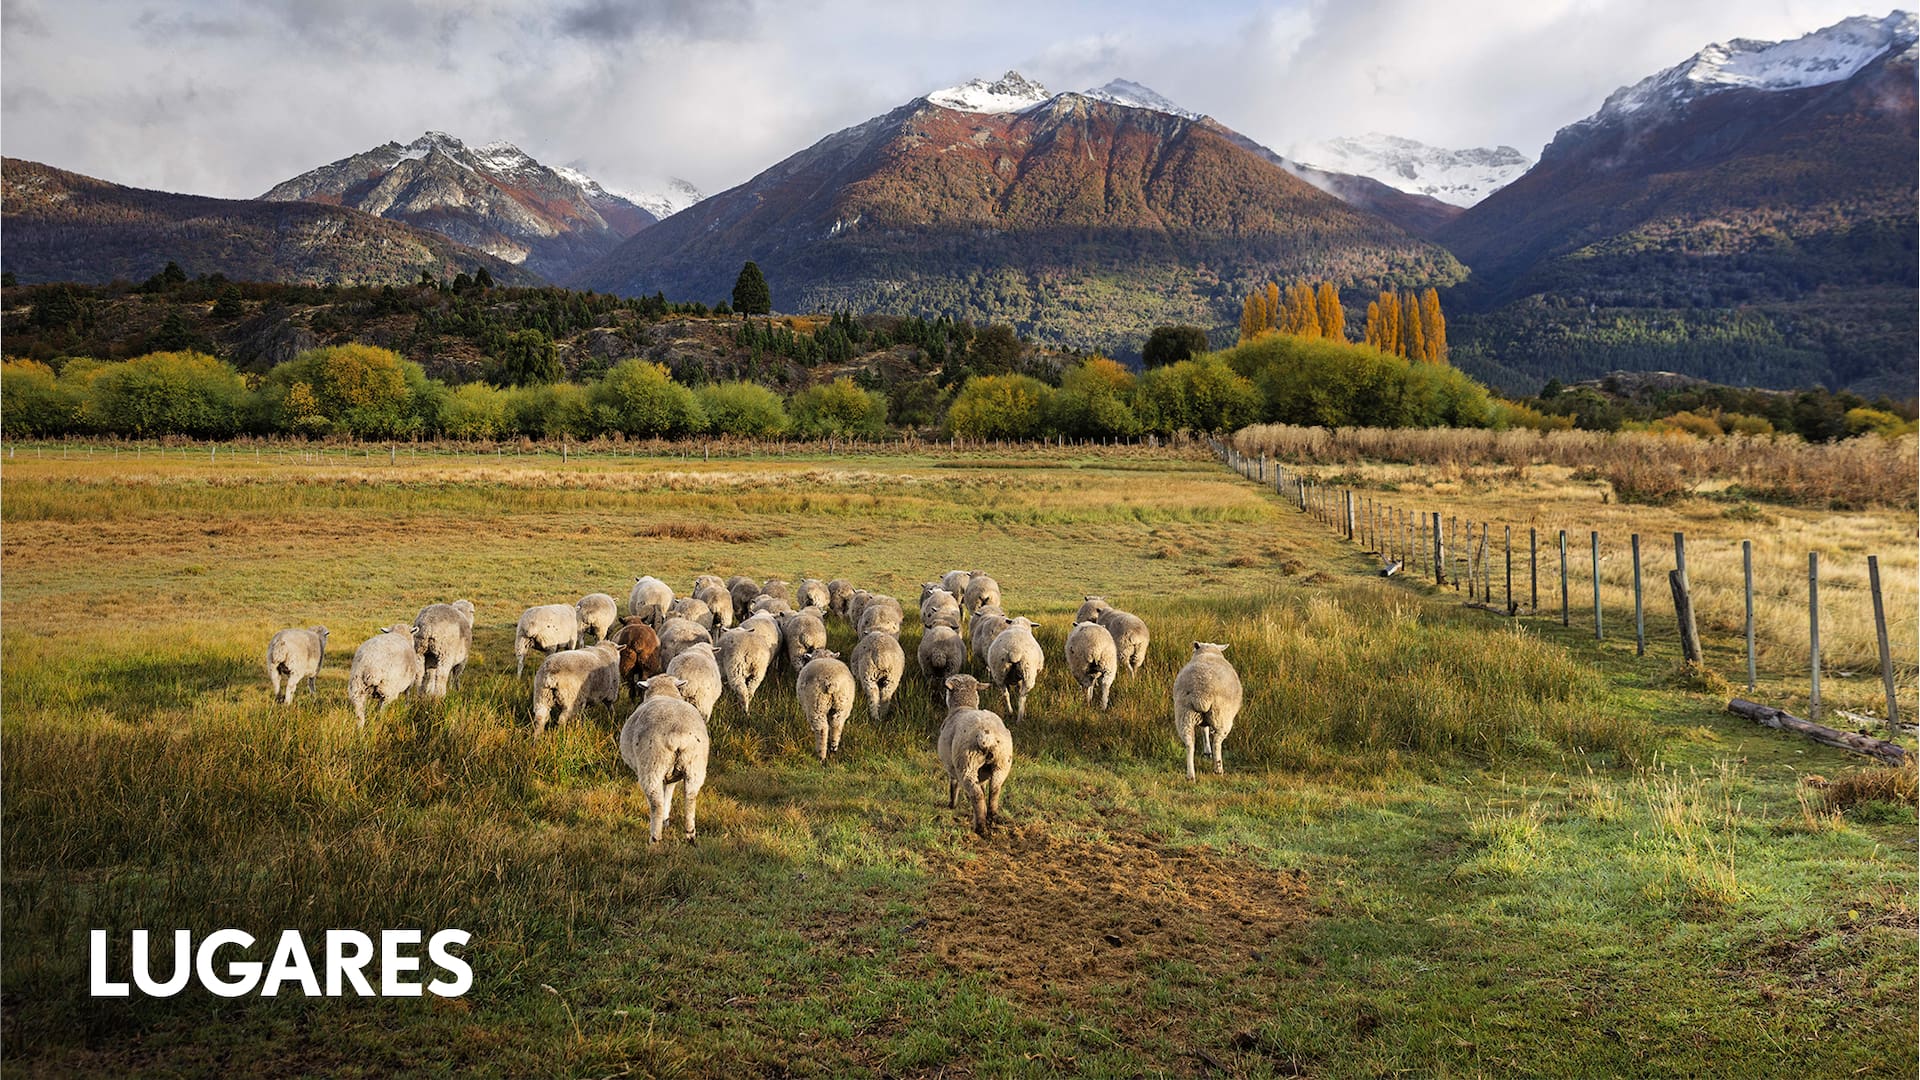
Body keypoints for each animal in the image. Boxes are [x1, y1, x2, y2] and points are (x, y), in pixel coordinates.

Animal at [618, 675, 710, 844]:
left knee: (656, 803)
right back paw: (690, 834)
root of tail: (678, 734)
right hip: (695, 766)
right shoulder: (673, 775)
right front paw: (666, 821)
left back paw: (654, 838)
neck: (665, 692)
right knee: (690, 798)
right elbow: (669, 792)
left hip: (652, 764)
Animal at [937, 675, 1014, 838]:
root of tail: (986, 735)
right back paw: (991, 817)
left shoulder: (951, 768)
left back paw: (980, 827)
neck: (964, 705)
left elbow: (953, 786)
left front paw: (952, 805)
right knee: (994, 790)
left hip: (966, 764)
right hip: (1002, 763)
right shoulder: (983, 774)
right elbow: (984, 789)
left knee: (976, 795)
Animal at [1172, 642, 1244, 780]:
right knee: (1217, 741)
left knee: (1189, 744)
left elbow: (1204, 730)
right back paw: (1218, 769)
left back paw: (1190, 775)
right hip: (1220, 715)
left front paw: (1207, 752)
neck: (1208, 653)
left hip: (1185, 714)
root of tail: (1201, 696)